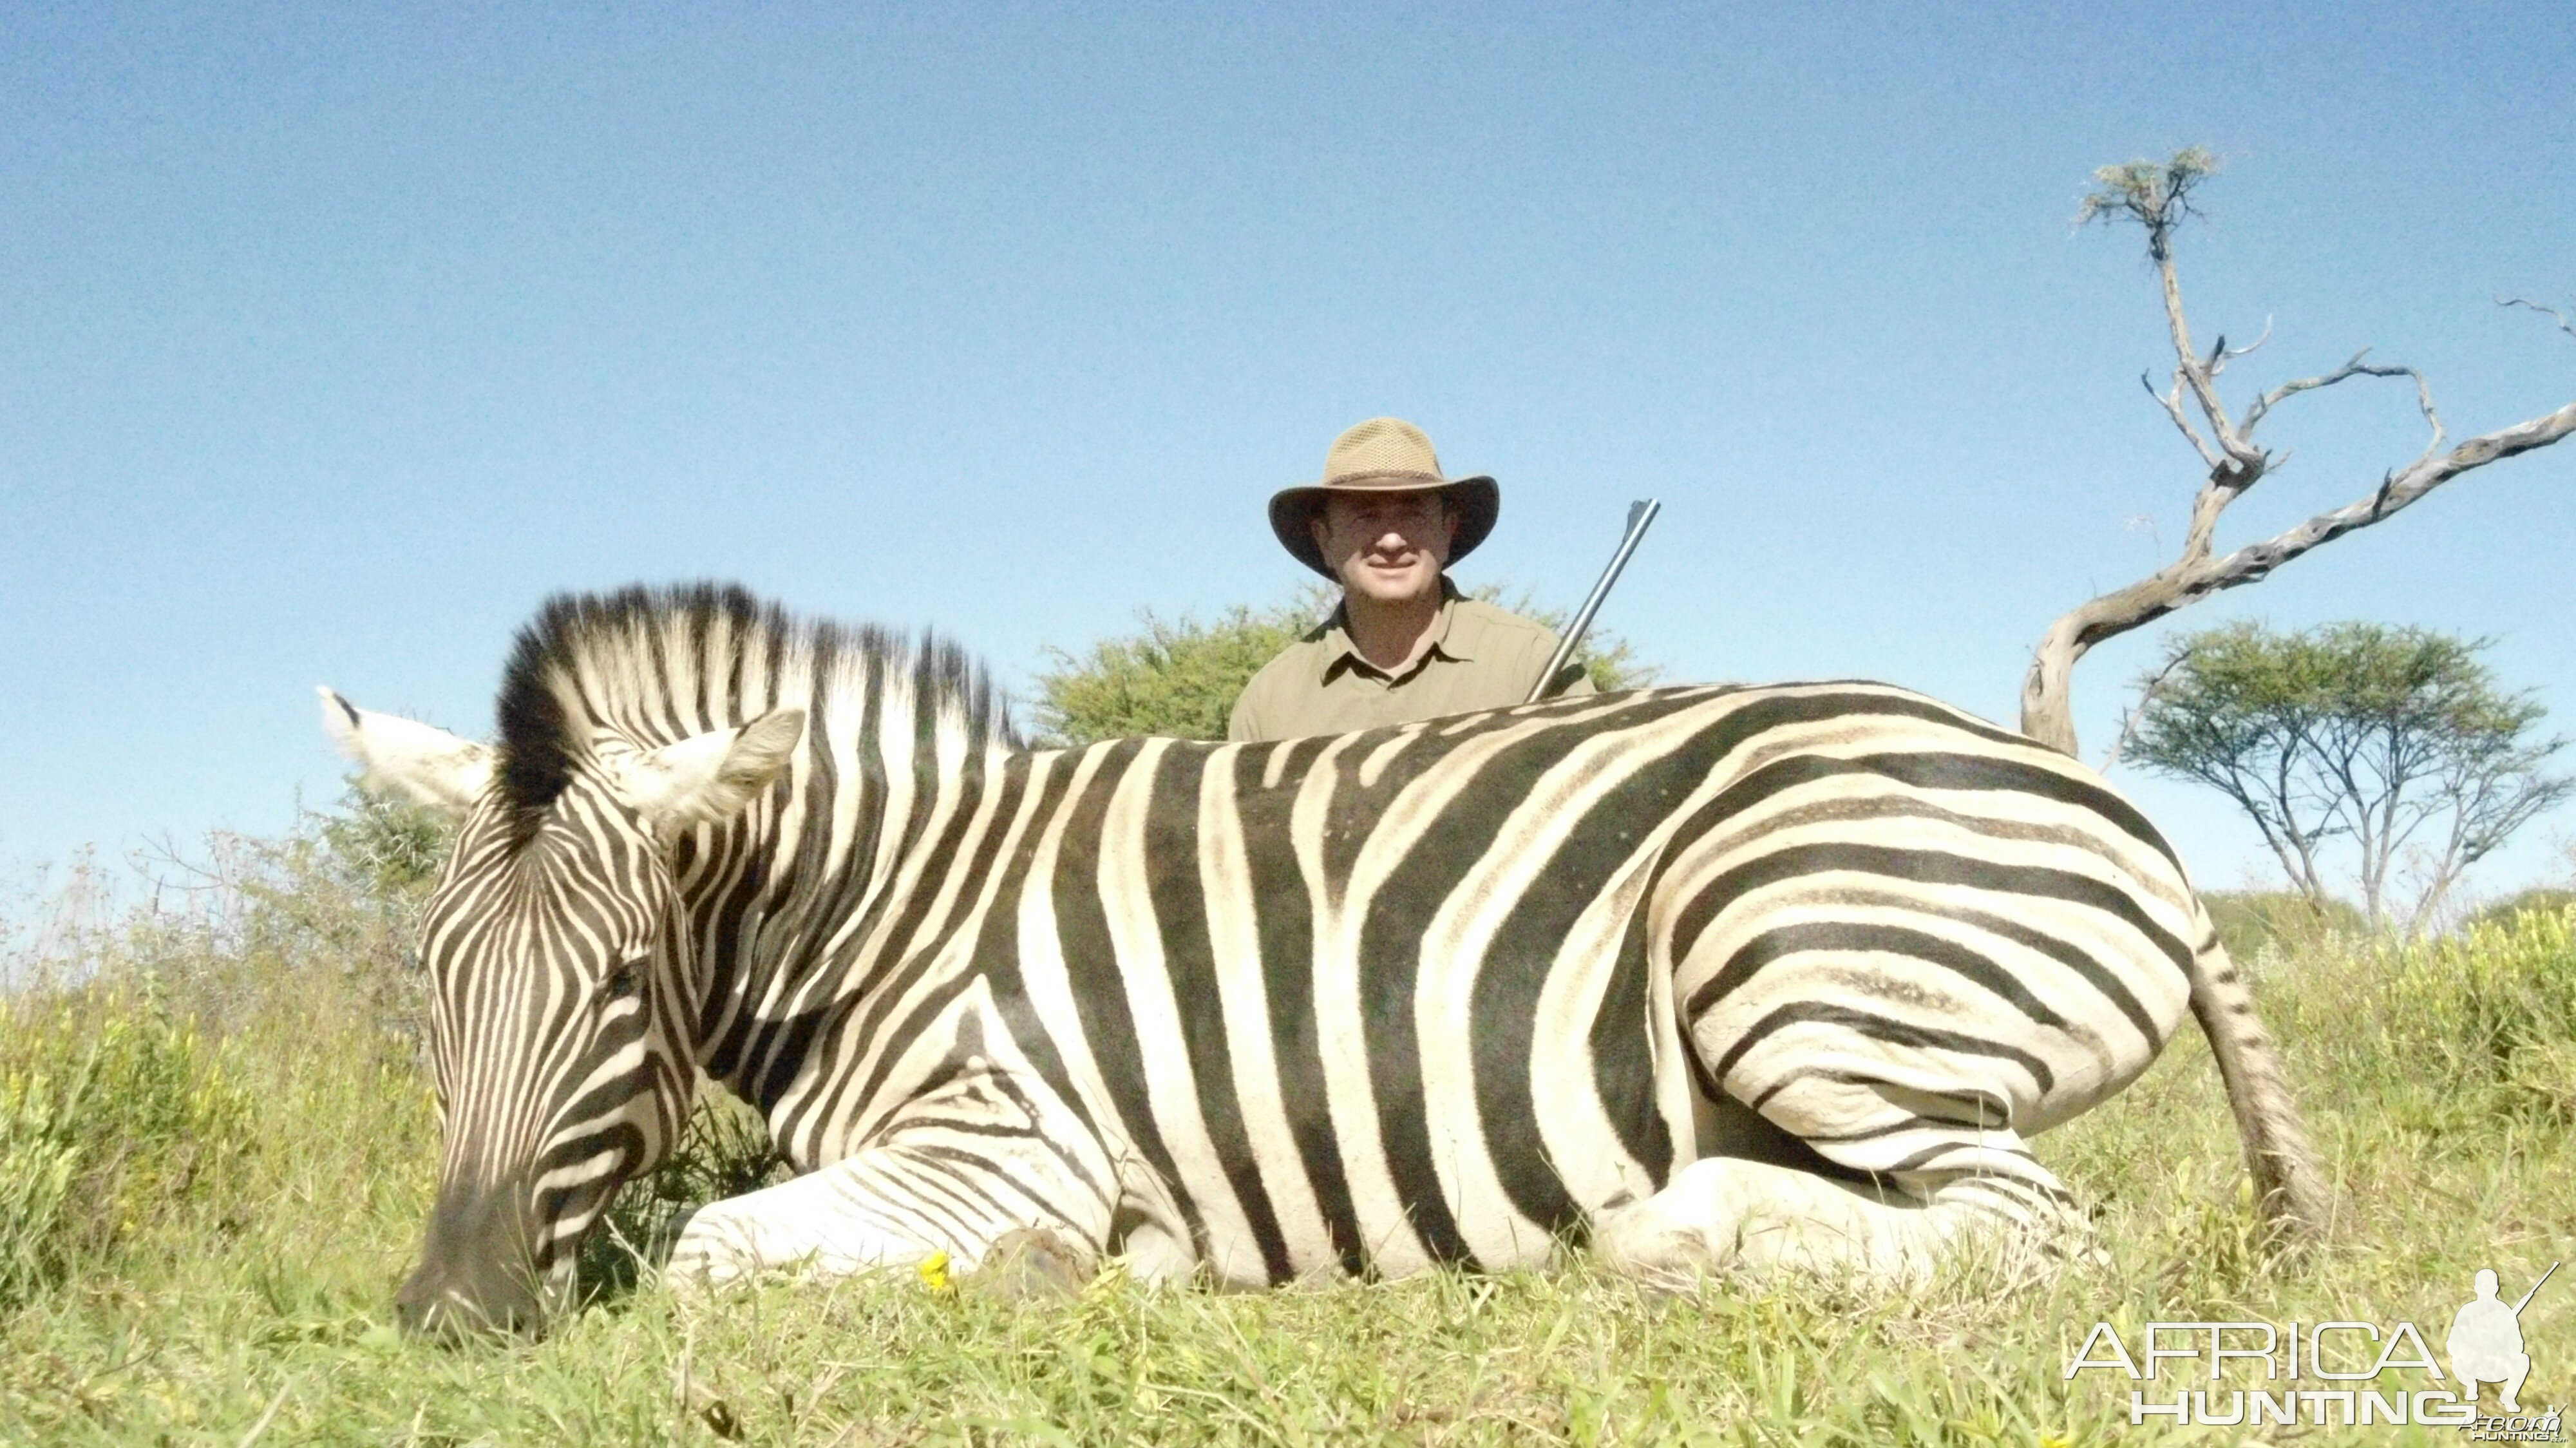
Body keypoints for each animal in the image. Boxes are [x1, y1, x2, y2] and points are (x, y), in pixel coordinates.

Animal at [322, 582, 2339, 1329]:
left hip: (1778, 959)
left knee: (2035, 1232)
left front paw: (1089, 1273)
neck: (893, 906)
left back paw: (1667, 1231)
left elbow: (712, 1257)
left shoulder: (1006, 1146)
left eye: (615, 991)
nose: (448, 1310)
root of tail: (2128, 823)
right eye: (431, 994)